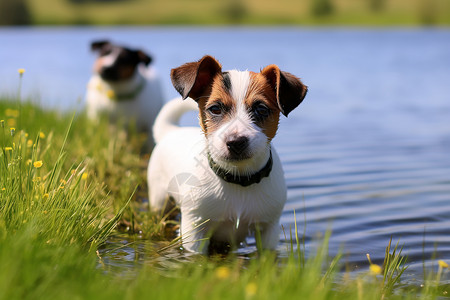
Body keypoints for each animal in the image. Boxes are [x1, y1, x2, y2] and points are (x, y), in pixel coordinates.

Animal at [147, 55, 306, 253]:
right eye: (215, 109)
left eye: (261, 110)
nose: (236, 142)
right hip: (159, 199)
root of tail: (171, 130)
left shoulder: (269, 229)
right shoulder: (195, 232)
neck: (239, 179)